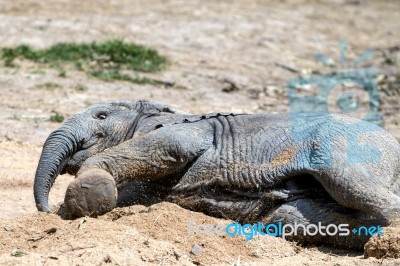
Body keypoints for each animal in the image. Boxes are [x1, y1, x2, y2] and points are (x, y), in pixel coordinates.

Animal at [33, 100, 400, 249]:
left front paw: (83, 195)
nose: (46, 212)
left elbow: (170, 146)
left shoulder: (185, 131)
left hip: (346, 150)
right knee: (288, 217)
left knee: (363, 193)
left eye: (102, 116)